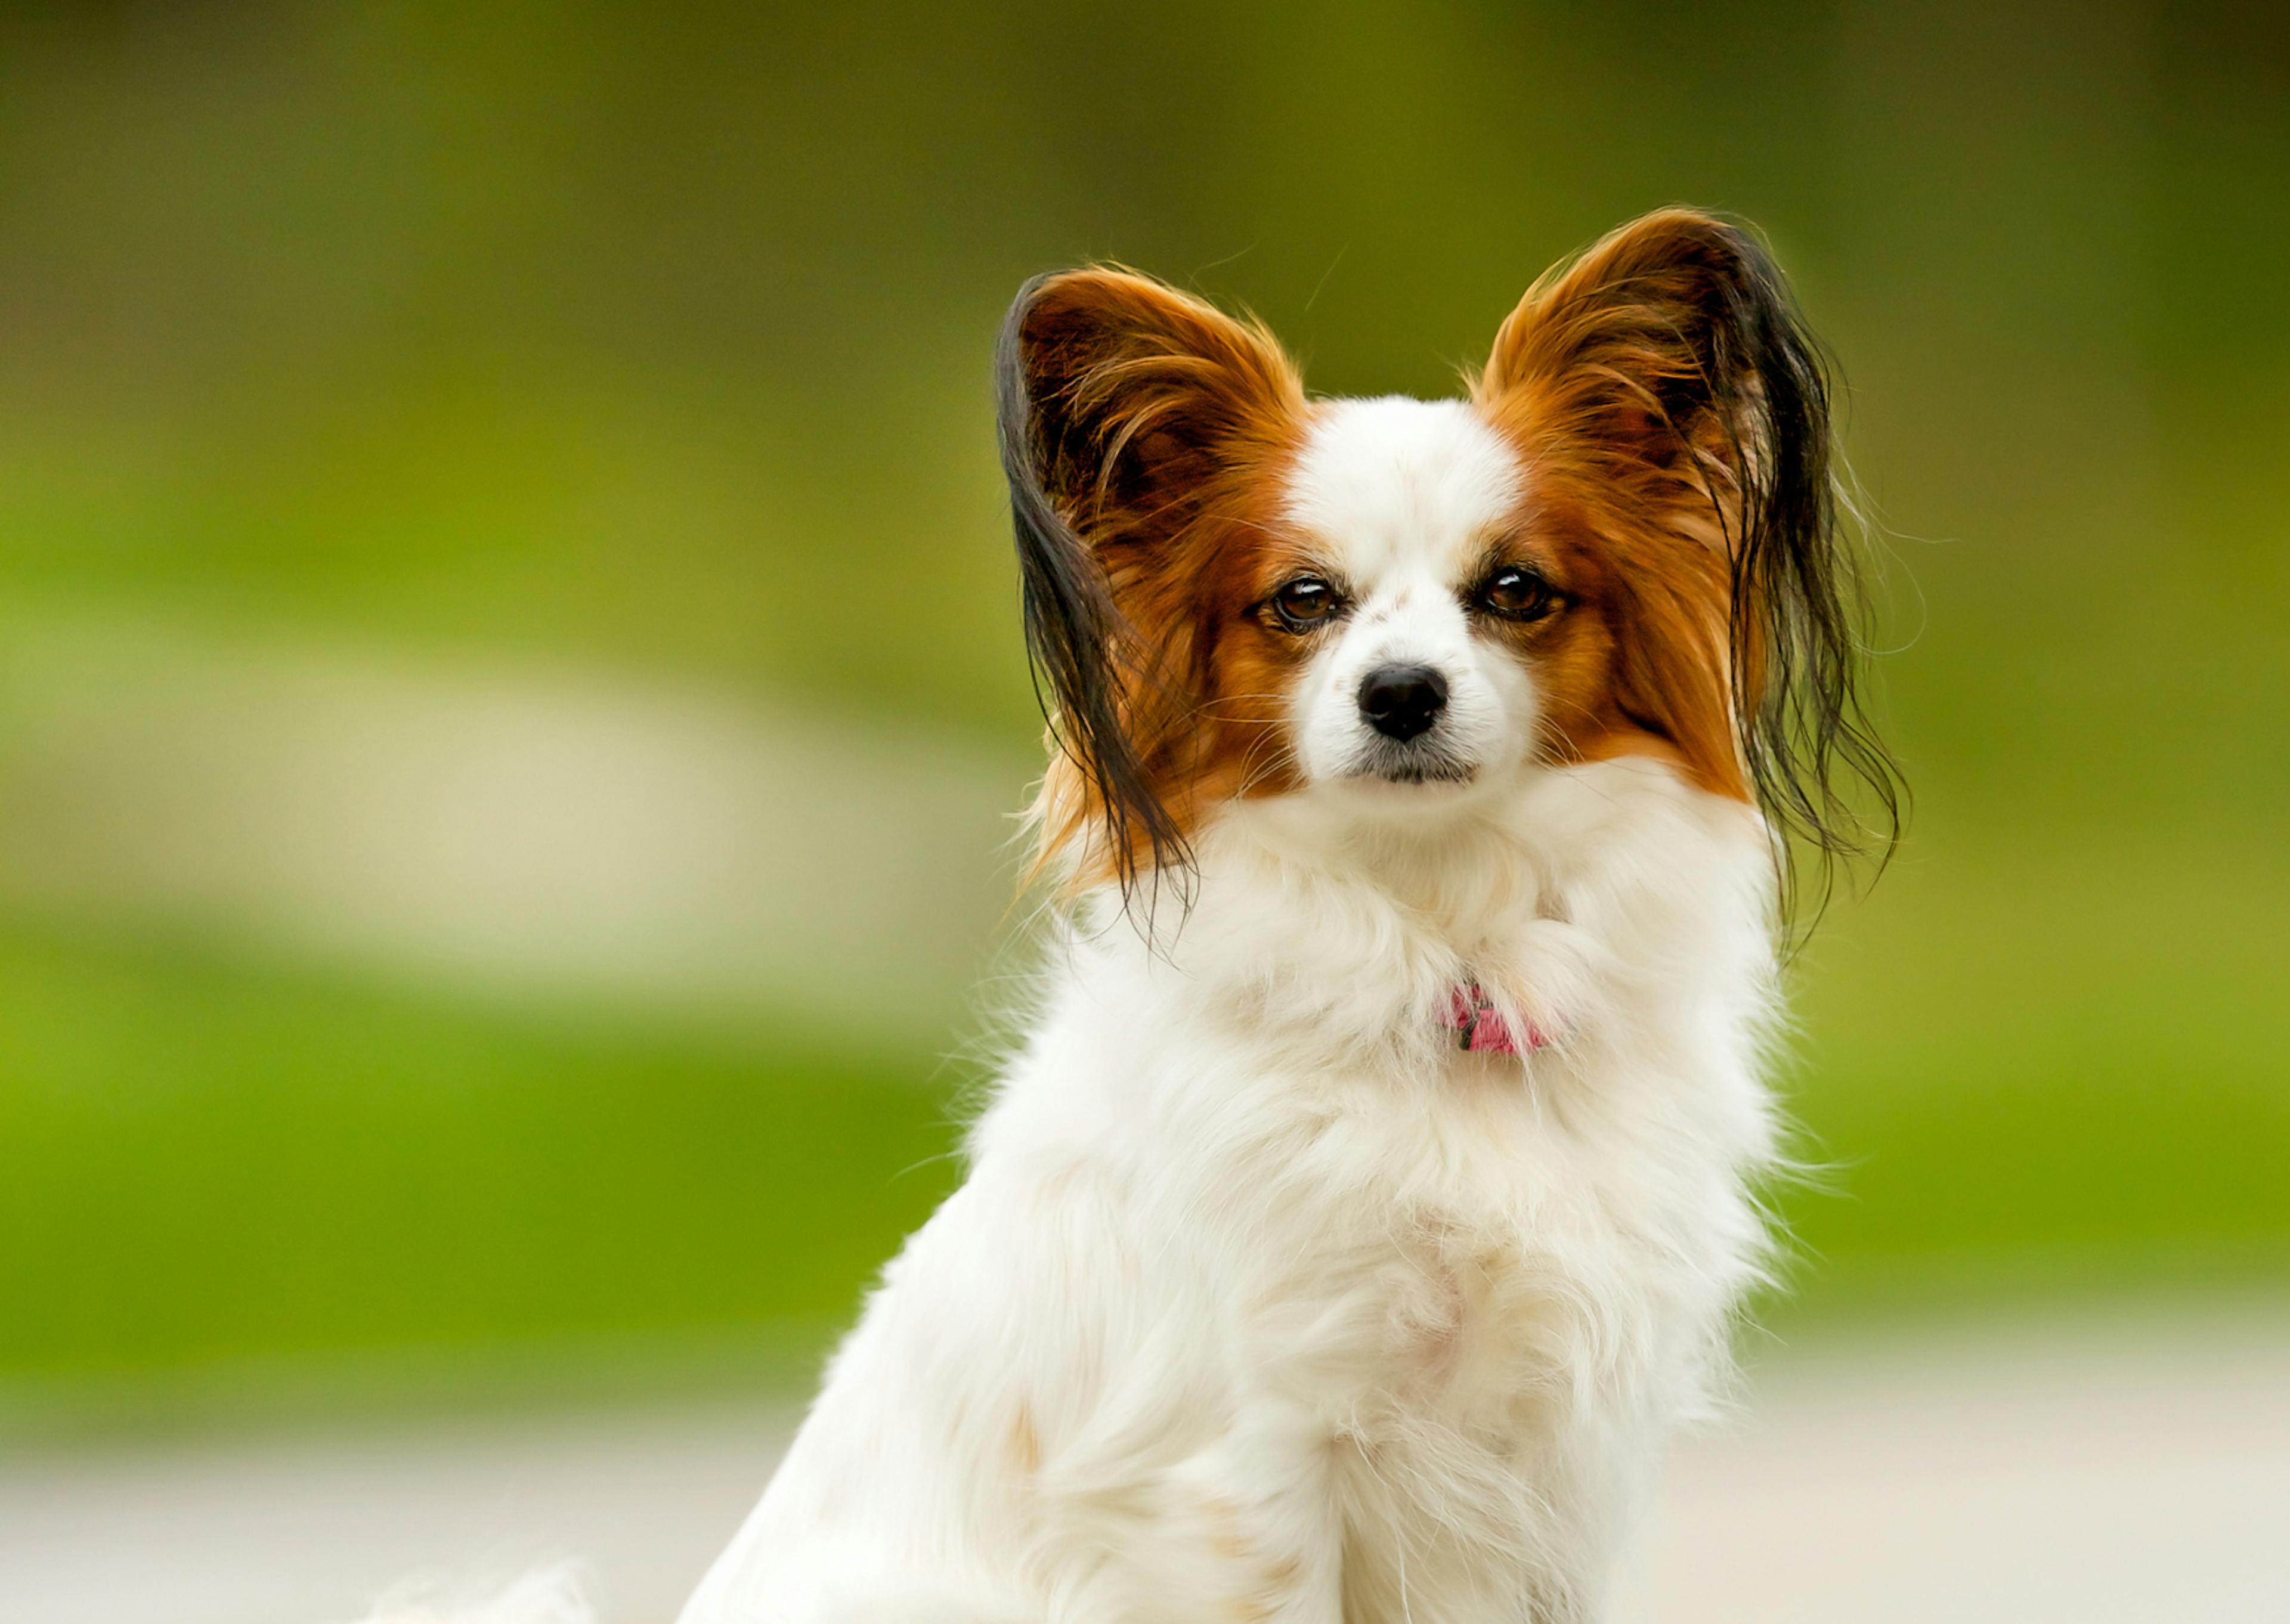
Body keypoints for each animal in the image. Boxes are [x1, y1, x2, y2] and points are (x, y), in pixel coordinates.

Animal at [664, 206, 1896, 1622]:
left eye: (1515, 590)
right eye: (1305, 600)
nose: (1402, 692)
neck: (1442, 951)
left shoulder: (1559, 1462)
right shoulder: (1241, 1471)